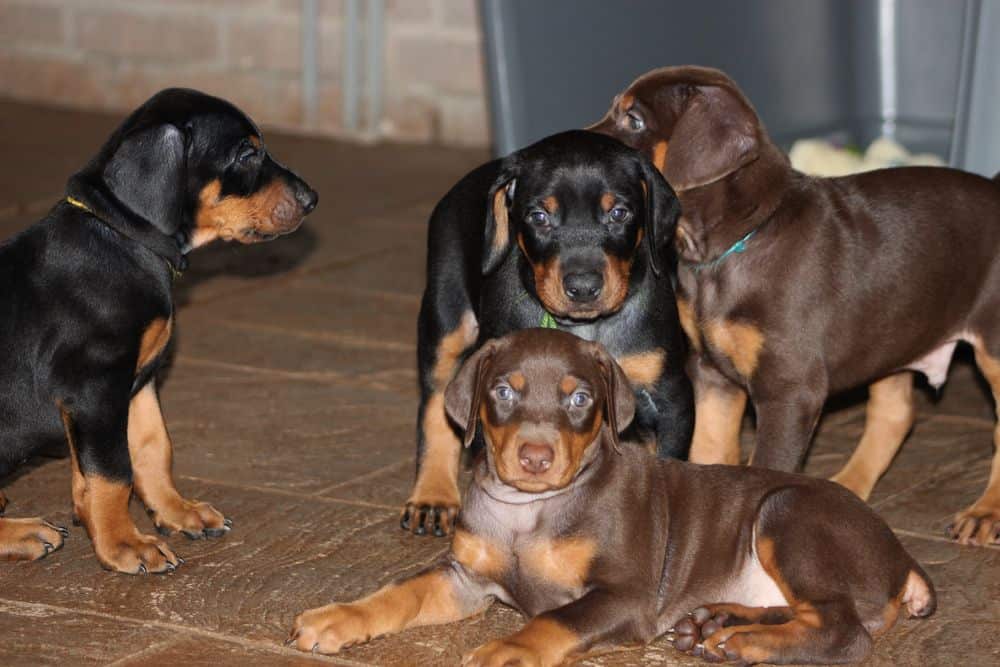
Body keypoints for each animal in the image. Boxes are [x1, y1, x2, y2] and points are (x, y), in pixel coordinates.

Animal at [0, 87, 316, 576]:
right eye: (245, 153)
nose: (311, 198)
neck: (122, 239)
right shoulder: (95, 389)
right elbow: (113, 473)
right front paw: (123, 544)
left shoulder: (138, 381)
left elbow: (151, 448)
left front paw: (176, 512)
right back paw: (23, 531)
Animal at [292, 330, 936, 667]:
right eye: (503, 392)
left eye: (579, 399)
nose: (535, 457)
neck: (529, 514)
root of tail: (904, 556)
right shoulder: (465, 576)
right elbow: (400, 592)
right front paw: (336, 617)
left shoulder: (624, 595)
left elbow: (554, 617)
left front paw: (506, 650)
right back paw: (716, 623)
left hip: (786, 513)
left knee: (844, 629)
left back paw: (744, 640)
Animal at [402, 130, 692, 536]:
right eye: (539, 217)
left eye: (619, 213)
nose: (583, 287)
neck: (588, 326)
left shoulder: (672, 399)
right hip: (445, 315)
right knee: (434, 404)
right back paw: (433, 495)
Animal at [588, 65, 1000, 544]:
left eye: (634, 120)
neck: (732, 245)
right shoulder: (712, 374)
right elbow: (709, 449)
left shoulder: (788, 389)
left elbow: (768, 466)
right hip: (893, 328)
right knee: (895, 413)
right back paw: (847, 488)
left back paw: (985, 511)